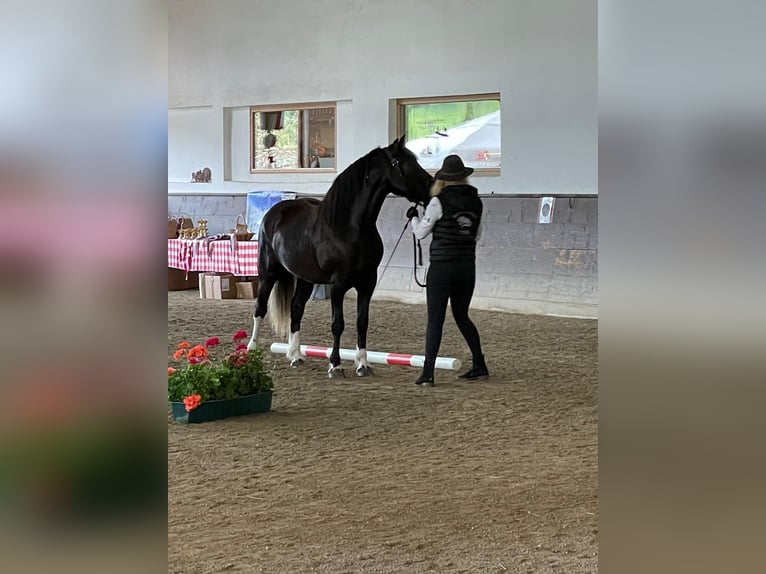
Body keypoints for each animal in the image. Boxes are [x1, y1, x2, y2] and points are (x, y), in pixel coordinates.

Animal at [249, 138, 436, 378]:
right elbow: (338, 324)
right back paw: (251, 349)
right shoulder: (338, 284)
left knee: (296, 309)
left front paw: (363, 364)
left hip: (306, 279)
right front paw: (335, 365)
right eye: (403, 163)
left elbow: (362, 322)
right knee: (260, 308)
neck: (348, 228)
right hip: (268, 273)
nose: (432, 189)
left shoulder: (368, 283)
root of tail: (274, 212)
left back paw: (296, 355)